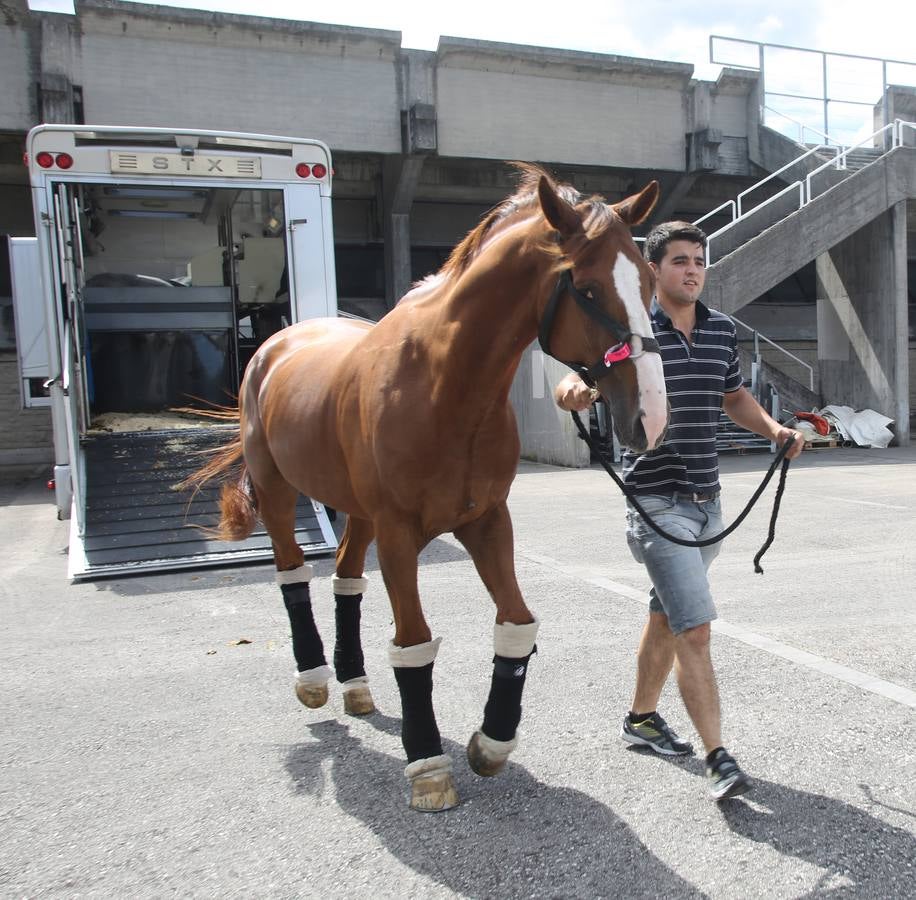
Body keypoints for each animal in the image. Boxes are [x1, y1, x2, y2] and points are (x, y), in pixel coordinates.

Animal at [190, 165, 668, 812]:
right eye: (589, 290)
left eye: (647, 280)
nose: (650, 416)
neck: (446, 388)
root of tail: (276, 344)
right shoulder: (398, 531)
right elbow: (413, 644)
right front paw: (428, 765)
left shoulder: (487, 519)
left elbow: (516, 625)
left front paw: (491, 742)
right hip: (279, 490)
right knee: (293, 574)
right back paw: (314, 679)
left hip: (356, 511)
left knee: (345, 579)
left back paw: (356, 685)